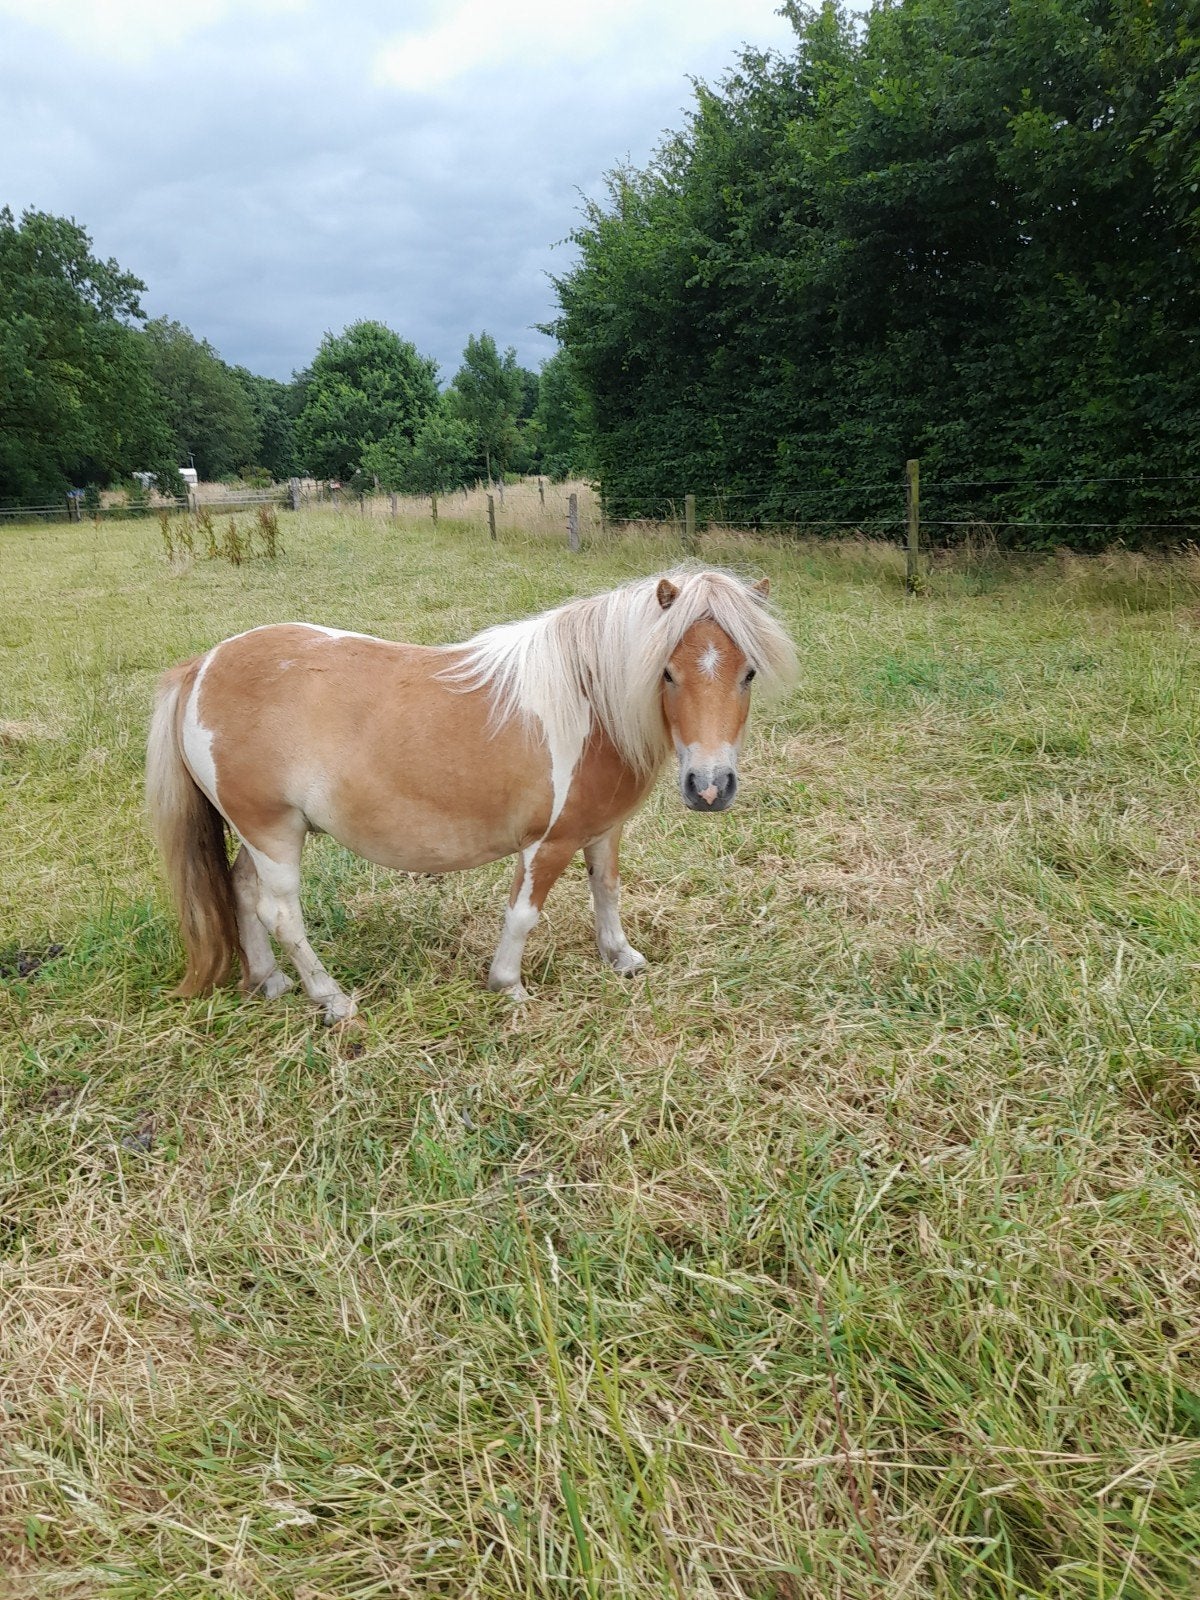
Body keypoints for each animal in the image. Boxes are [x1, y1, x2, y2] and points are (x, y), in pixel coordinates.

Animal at [145, 567, 797, 1021]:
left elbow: (607, 891)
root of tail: (202, 666)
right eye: (667, 672)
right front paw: (507, 985)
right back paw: (331, 999)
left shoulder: (603, 829)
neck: (590, 704)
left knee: (242, 891)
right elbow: (523, 914)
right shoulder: (548, 843)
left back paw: (271, 981)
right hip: (273, 832)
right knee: (281, 913)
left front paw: (621, 957)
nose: (709, 787)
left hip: (263, 833)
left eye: (748, 673)